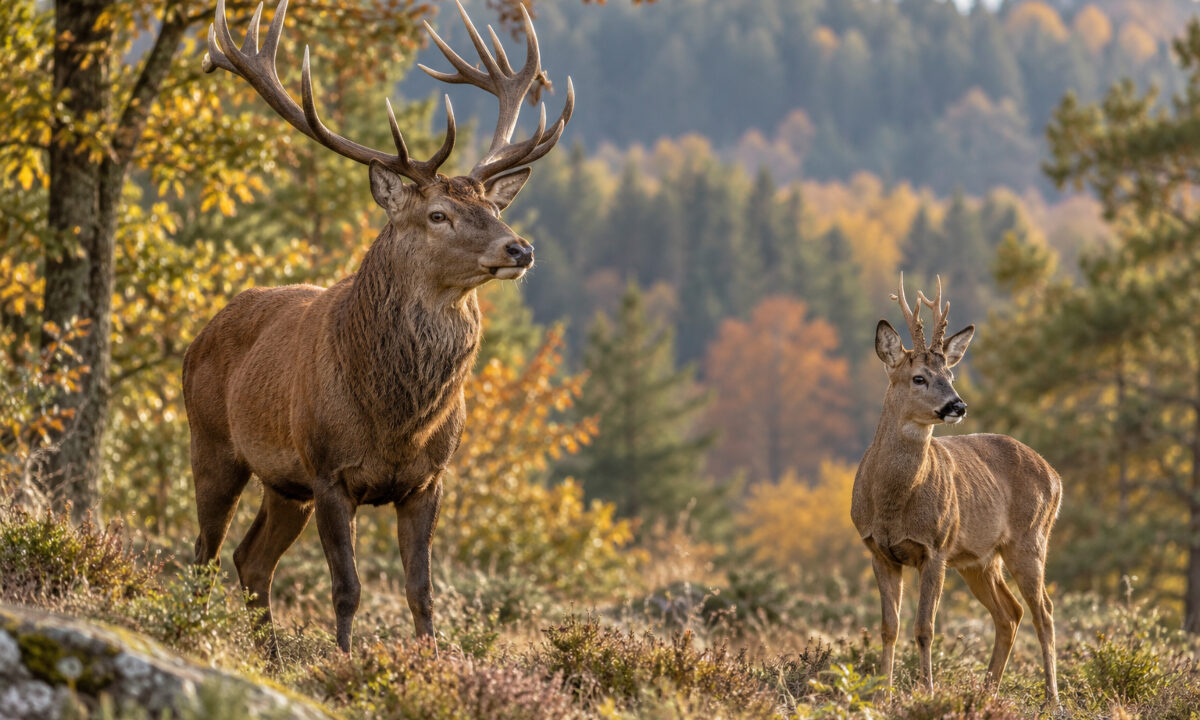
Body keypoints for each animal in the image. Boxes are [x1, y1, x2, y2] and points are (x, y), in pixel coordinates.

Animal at [183, 0, 573, 655]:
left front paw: (429, 660)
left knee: (250, 559)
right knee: (203, 555)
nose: (519, 248)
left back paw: (271, 655)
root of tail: (200, 335)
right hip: (213, 445)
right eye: (438, 214)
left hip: (283, 485)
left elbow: (422, 592)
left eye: (494, 208)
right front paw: (343, 662)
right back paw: (189, 633)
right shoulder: (329, 471)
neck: (397, 422)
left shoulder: (427, 480)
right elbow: (348, 589)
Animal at [850, 274, 1062, 708]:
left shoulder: (936, 546)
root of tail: (1055, 476)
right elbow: (889, 627)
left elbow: (924, 628)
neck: (892, 504)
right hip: (980, 560)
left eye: (951, 376)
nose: (957, 405)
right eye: (919, 377)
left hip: (1030, 540)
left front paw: (927, 692)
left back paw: (1052, 698)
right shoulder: (878, 550)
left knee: (1044, 612)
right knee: (1010, 613)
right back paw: (986, 692)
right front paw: (881, 696)